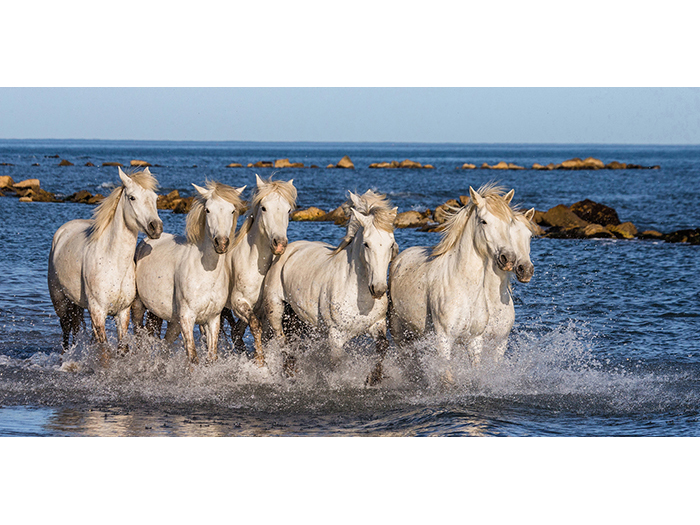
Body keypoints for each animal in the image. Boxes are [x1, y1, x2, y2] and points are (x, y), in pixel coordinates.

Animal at [48, 166, 165, 358]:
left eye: (155, 198)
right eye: (132, 197)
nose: (156, 227)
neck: (113, 263)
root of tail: (62, 232)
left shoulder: (123, 312)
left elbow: (122, 348)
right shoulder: (98, 312)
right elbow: (104, 352)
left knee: (75, 328)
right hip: (60, 300)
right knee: (66, 327)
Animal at [132, 182, 246, 362]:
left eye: (232, 210)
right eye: (208, 210)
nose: (221, 243)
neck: (205, 274)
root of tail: (145, 241)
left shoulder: (212, 319)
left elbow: (211, 356)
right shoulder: (187, 317)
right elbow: (192, 356)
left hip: (173, 321)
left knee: (165, 344)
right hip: (139, 307)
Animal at [219, 174, 296, 366]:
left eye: (288, 210)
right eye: (264, 207)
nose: (279, 244)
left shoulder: (262, 309)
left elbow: (262, 333)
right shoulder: (240, 303)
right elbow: (255, 327)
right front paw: (260, 362)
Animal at [266, 190, 400, 378]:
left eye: (391, 244)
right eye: (366, 244)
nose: (378, 289)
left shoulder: (377, 324)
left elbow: (382, 346)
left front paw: (373, 379)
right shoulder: (336, 336)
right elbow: (337, 363)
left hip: (298, 318)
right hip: (276, 310)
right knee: (283, 342)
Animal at [388, 183, 536, 368]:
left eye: (529, 236)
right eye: (483, 221)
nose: (510, 260)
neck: (464, 287)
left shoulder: (483, 341)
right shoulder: (444, 339)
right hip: (399, 331)